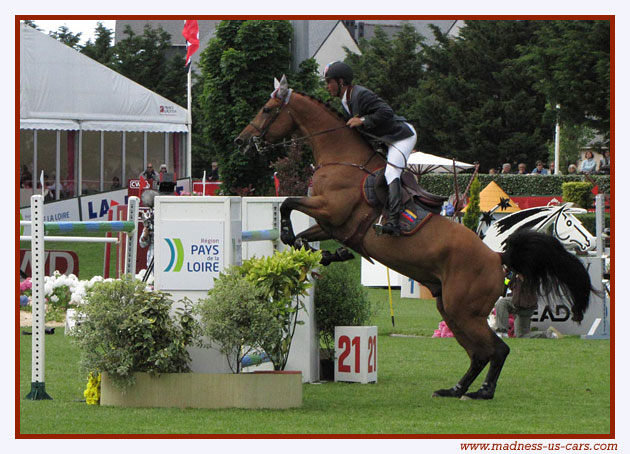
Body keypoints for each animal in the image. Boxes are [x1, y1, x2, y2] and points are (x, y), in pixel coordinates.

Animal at [236, 76, 592, 400]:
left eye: (267, 109)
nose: (243, 140)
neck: (341, 158)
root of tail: (498, 257)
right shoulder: (332, 225)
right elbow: (305, 231)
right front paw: (323, 253)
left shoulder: (331, 210)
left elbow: (288, 203)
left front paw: (292, 237)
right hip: (450, 309)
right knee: (480, 353)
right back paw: (455, 389)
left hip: (464, 311)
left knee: (497, 350)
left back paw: (482, 391)